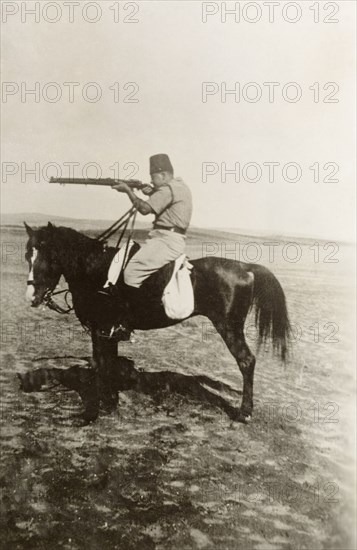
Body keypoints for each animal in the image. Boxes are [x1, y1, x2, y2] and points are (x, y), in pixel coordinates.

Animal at [23, 222, 290, 424]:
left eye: (49, 256)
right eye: (28, 256)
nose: (32, 297)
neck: (97, 273)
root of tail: (246, 267)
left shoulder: (101, 329)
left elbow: (102, 364)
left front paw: (99, 407)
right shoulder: (108, 332)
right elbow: (106, 363)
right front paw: (111, 400)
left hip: (229, 327)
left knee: (246, 361)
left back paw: (244, 413)